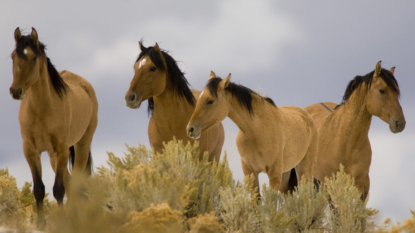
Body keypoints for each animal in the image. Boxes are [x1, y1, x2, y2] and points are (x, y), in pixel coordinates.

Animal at [10, 27, 98, 228]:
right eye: (13, 56)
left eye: (34, 57)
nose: (16, 91)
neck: (42, 110)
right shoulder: (31, 151)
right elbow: (39, 189)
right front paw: (41, 224)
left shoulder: (61, 149)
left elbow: (58, 189)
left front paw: (62, 222)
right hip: (52, 156)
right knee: (70, 182)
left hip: (81, 146)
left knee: (75, 184)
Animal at [186, 72, 318, 194]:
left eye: (210, 101)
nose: (190, 129)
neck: (257, 131)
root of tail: (307, 116)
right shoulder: (250, 172)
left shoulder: (274, 174)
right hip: (286, 173)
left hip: (303, 170)